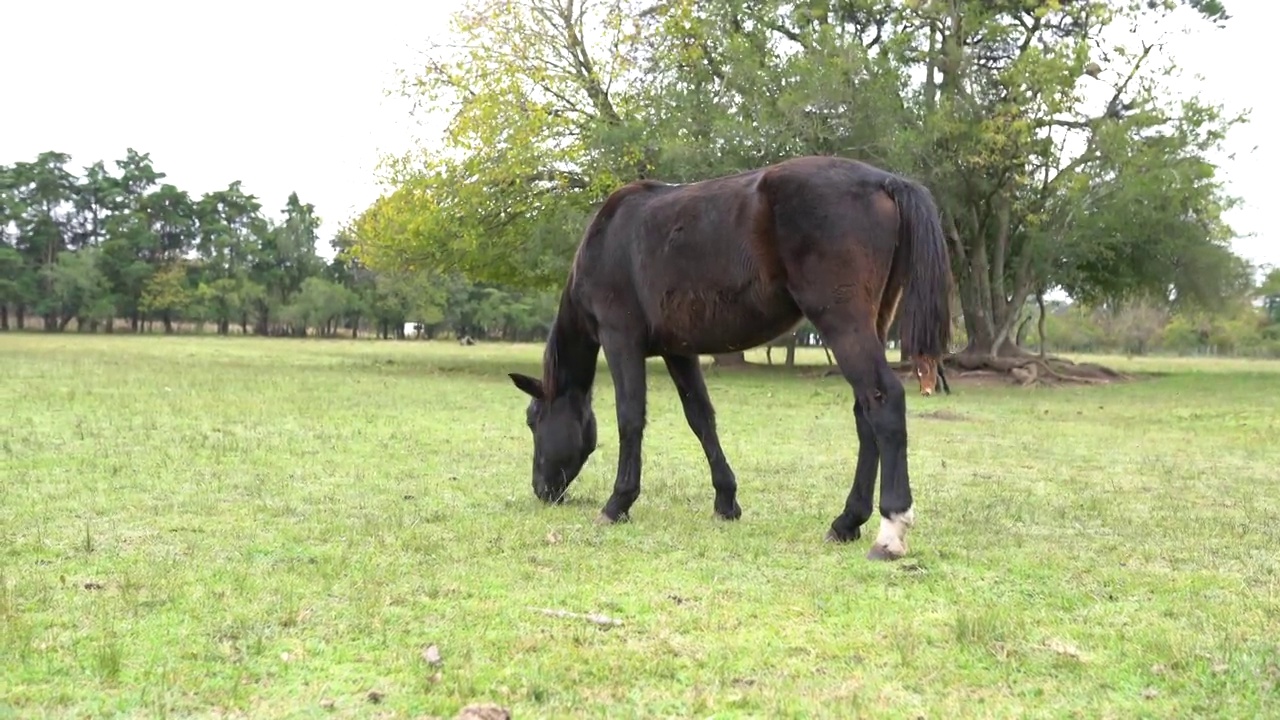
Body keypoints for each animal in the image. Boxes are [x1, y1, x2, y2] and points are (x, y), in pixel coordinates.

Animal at [506, 155, 952, 561]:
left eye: (533, 420)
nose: (542, 490)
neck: (607, 239)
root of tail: (885, 181)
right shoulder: (678, 351)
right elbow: (701, 418)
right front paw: (726, 501)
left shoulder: (621, 340)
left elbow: (630, 418)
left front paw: (619, 503)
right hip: (873, 320)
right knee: (865, 413)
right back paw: (847, 522)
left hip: (843, 323)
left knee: (883, 400)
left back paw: (890, 530)